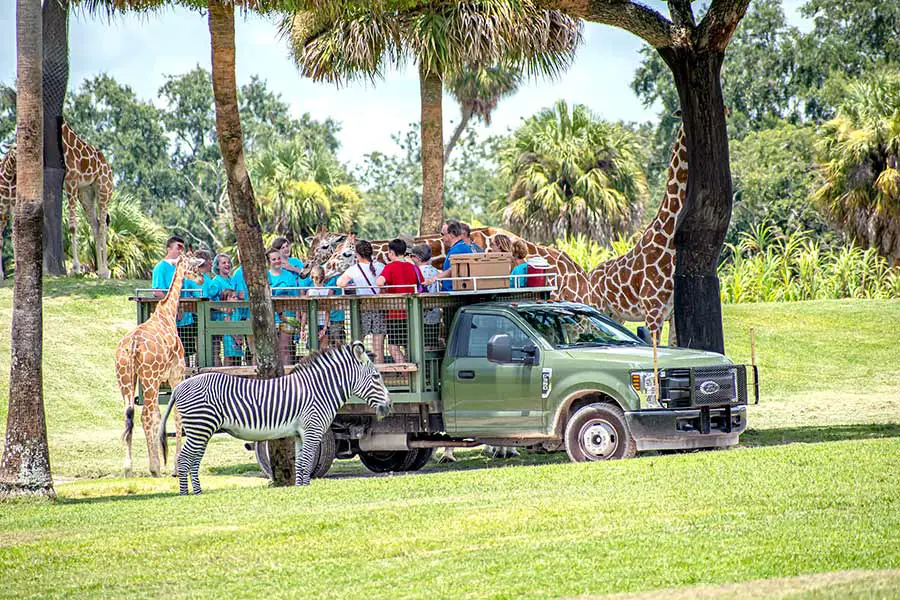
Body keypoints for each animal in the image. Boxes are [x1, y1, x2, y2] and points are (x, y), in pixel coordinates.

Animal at [62, 122, 114, 282]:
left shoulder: (71, 181)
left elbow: (72, 226)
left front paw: (75, 268)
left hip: (104, 190)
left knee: (103, 226)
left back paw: (105, 271)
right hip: (85, 193)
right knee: (95, 226)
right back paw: (100, 270)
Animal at [115, 254, 205, 478]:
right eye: (194, 264)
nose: (201, 279)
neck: (167, 313)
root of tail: (133, 344)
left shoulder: (160, 379)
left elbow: (158, 415)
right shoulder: (176, 374)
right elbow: (177, 416)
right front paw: (174, 466)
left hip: (126, 378)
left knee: (129, 413)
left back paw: (128, 467)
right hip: (149, 377)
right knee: (145, 416)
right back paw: (154, 468)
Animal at [161, 340, 390, 494]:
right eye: (376, 377)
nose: (389, 406)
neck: (319, 389)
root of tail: (179, 387)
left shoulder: (300, 433)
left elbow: (301, 463)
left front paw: (300, 488)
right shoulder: (313, 430)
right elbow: (307, 461)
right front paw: (305, 490)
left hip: (201, 430)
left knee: (193, 460)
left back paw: (198, 492)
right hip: (200, 428)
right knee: (184, 459)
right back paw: (186, 494)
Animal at [588, 124, 684, 344]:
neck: (667, 243)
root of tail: (588, 274)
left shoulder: (673, 314)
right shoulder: (653, 309)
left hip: (616, 315)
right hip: (598, 306)